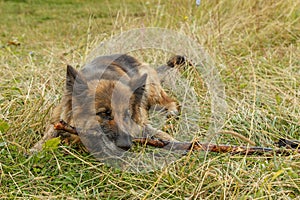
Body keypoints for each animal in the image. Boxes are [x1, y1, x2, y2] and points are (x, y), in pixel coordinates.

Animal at [29, 54, 185, 155]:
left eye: (126, 115)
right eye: (104, 113)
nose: (126, 146)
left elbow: (156, 132)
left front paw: (177, 144)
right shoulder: (58, 116)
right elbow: (51, 131)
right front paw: (36, 149)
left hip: (149, 87)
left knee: (169, 100)